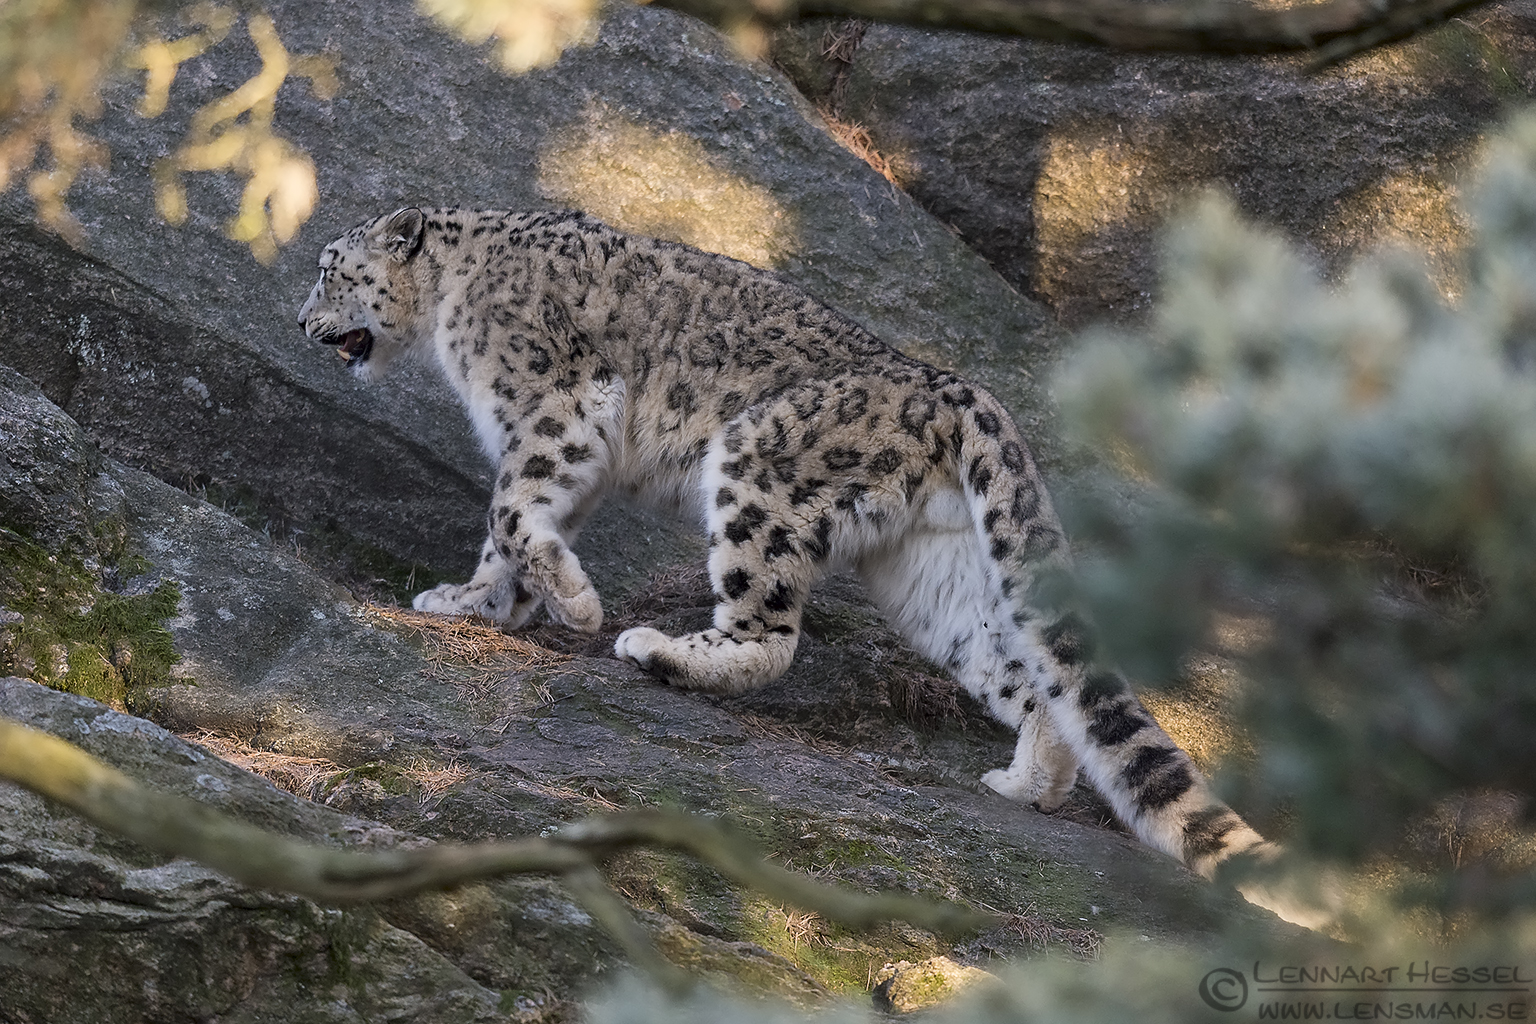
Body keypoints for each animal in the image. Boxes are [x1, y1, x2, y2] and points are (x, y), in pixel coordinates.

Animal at [296, 206, 1278, 890]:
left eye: (330, 272)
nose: (303, 324)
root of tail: (953, 385)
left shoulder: (554, 406)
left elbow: (510, 507)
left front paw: (571, 602)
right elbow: (514, 525)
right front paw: (478, 602)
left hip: (756, 467)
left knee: (768, 631)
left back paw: (661, 649)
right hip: (933, 571)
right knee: (1023, 670)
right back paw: (1024, 784)